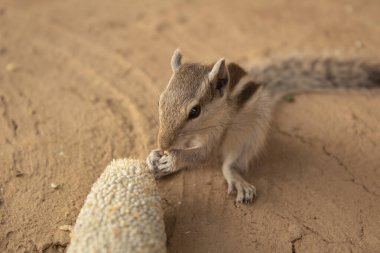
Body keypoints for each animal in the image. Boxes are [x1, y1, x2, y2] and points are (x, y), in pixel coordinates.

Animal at [146, 49, 380, 204]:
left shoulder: (217, 133)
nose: (164, 144)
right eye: (159, 101)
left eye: (195, 111)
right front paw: (154, 156)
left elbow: (203, 155)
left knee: (230, 164)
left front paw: (172, 159)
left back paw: (236, 179)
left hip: (251, 134)